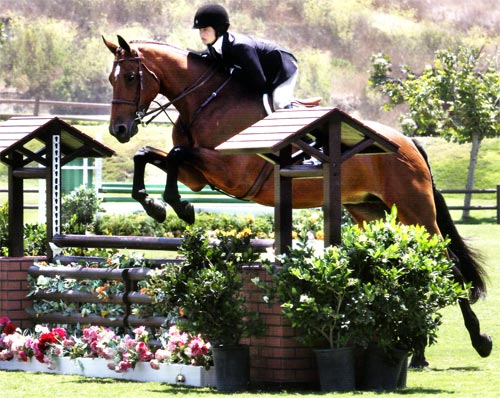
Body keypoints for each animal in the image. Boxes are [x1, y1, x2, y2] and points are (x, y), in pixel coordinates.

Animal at [102, 35, 492, 366]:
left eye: (132, 77)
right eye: (111, 78)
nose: (119, 130)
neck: (204, 103)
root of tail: (408, 141)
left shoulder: (230, 170)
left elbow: (176, 154)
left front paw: (178, 207)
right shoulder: (199, 175)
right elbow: (149, 154)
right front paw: (157, 205)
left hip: (415, 211)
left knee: (449, 266)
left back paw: (478, 342)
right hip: (372, 212)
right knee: (411, 263)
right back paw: (417, 352)